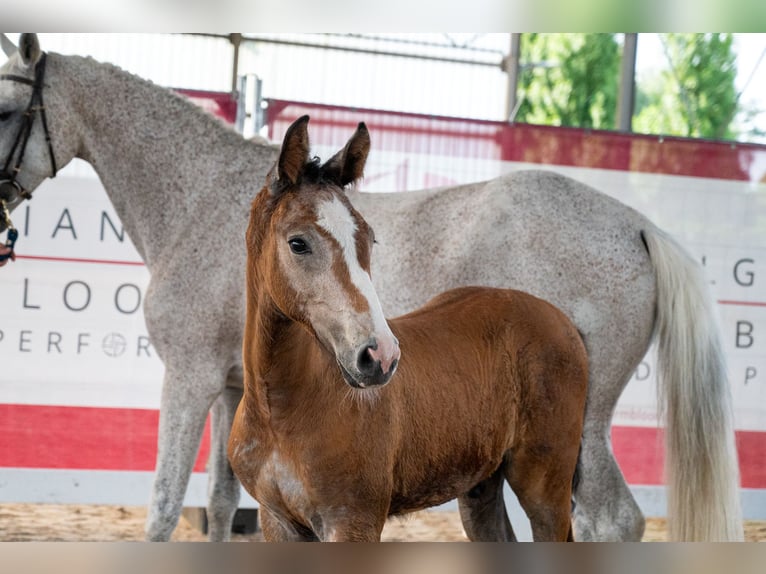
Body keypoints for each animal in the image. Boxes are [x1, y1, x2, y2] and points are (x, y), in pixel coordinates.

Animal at [228, 115, 589, 542]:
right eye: (298, 243)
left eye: (369, 239)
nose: (379, 357)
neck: (280, 411)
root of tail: (564, 322)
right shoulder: (278, 520)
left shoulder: (354, 521)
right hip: (481, 488)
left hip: (544, 487)